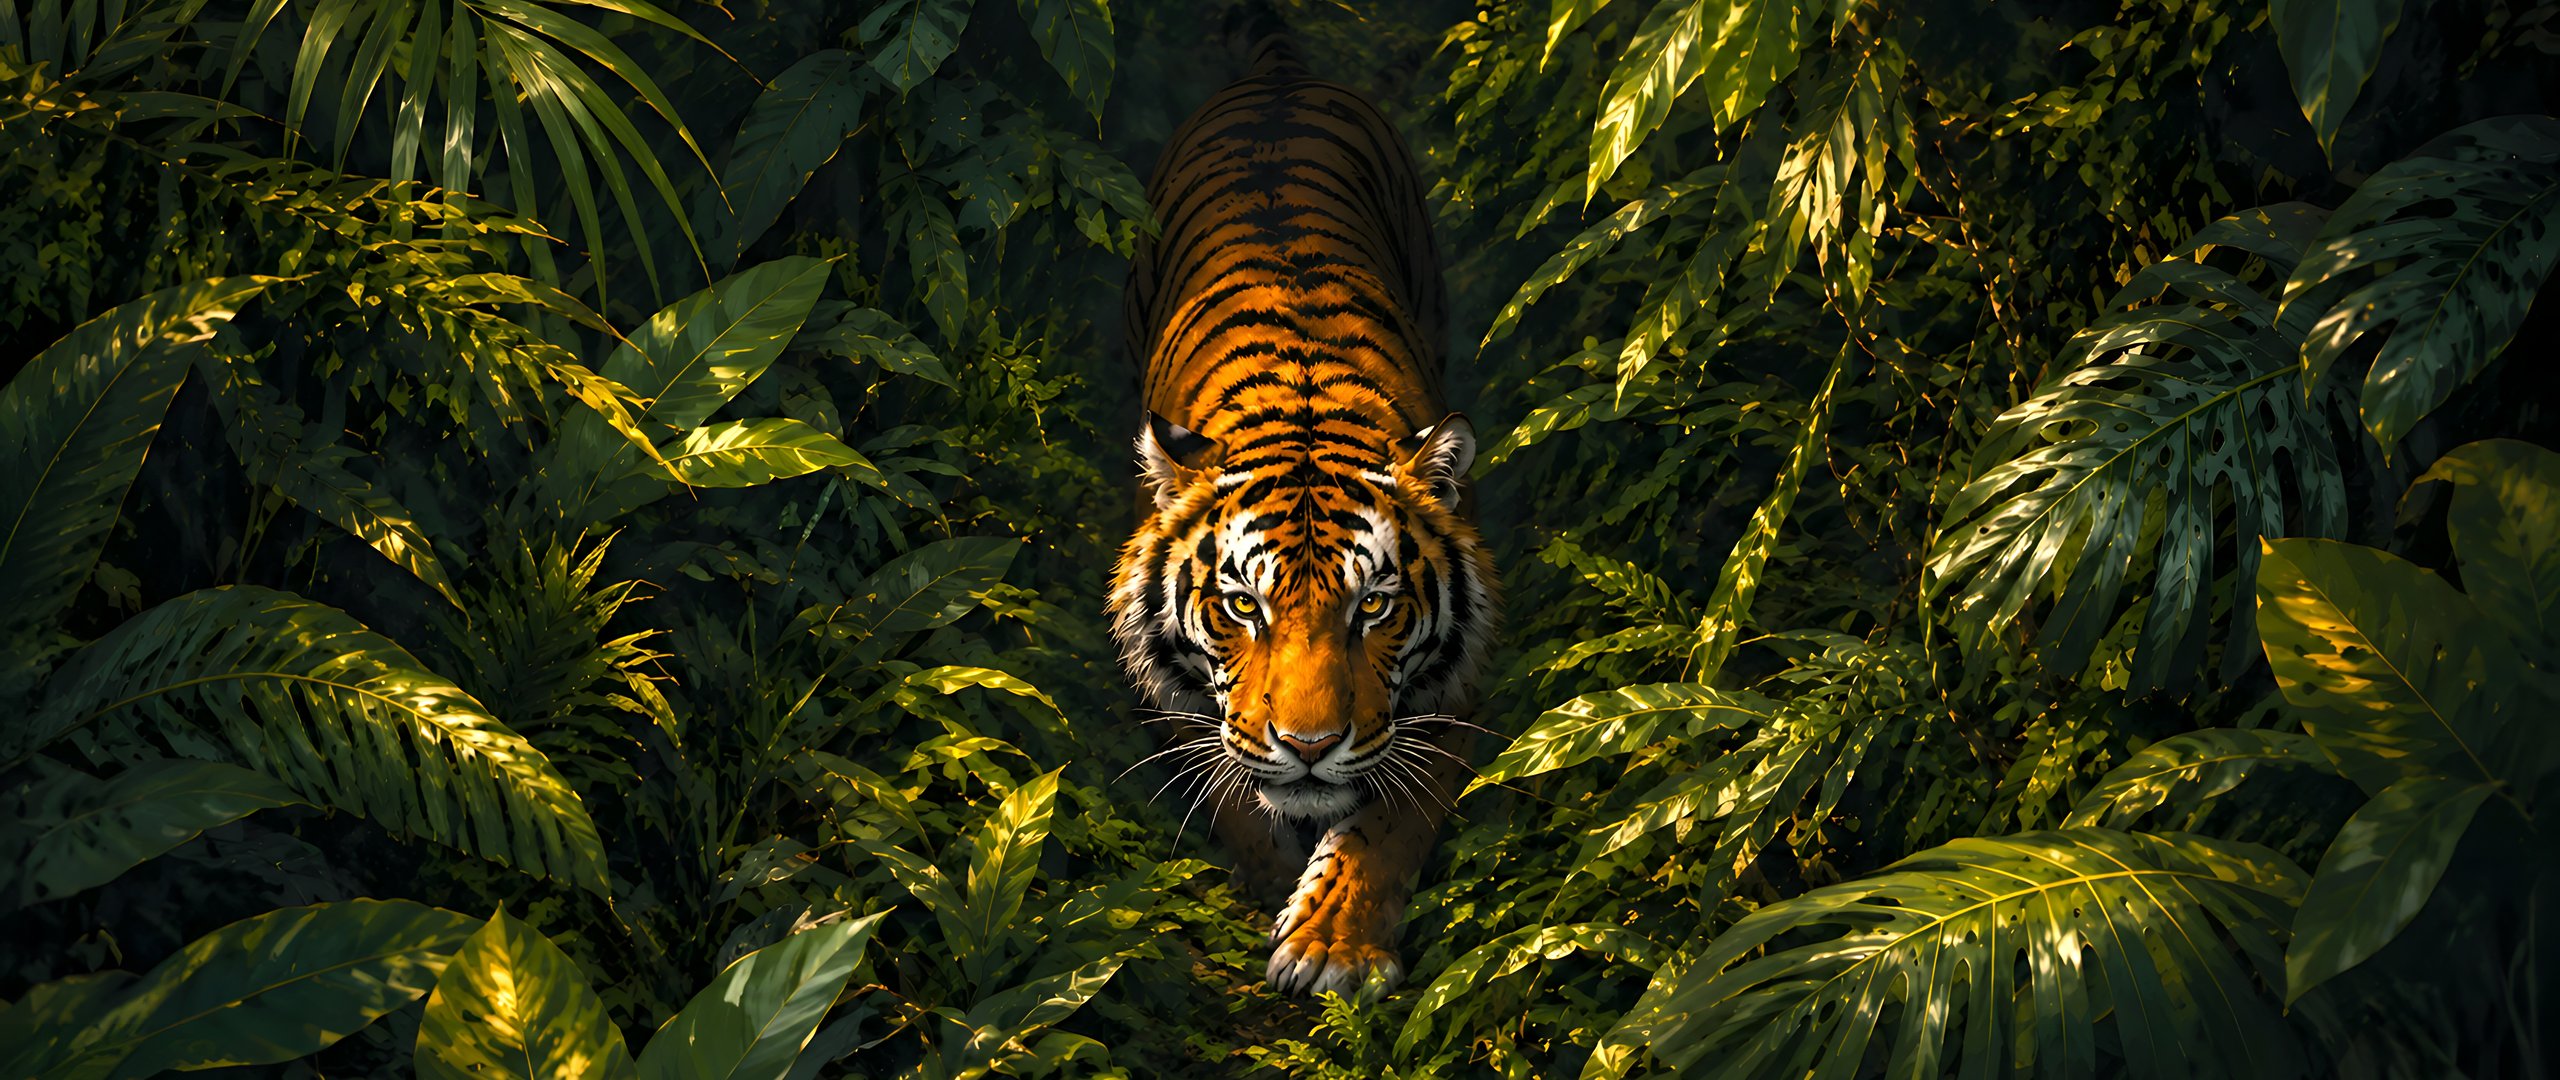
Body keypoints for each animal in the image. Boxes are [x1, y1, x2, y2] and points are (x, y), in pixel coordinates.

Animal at [1106, 10, 1498, 1000]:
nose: (1312, 744)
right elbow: (1229, 787)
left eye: (1376, 608)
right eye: (1244, 606)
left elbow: (1393, 815)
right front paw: (1268, 873)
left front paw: (1333, 946)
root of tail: (1279, 76)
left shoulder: (1451, 688)